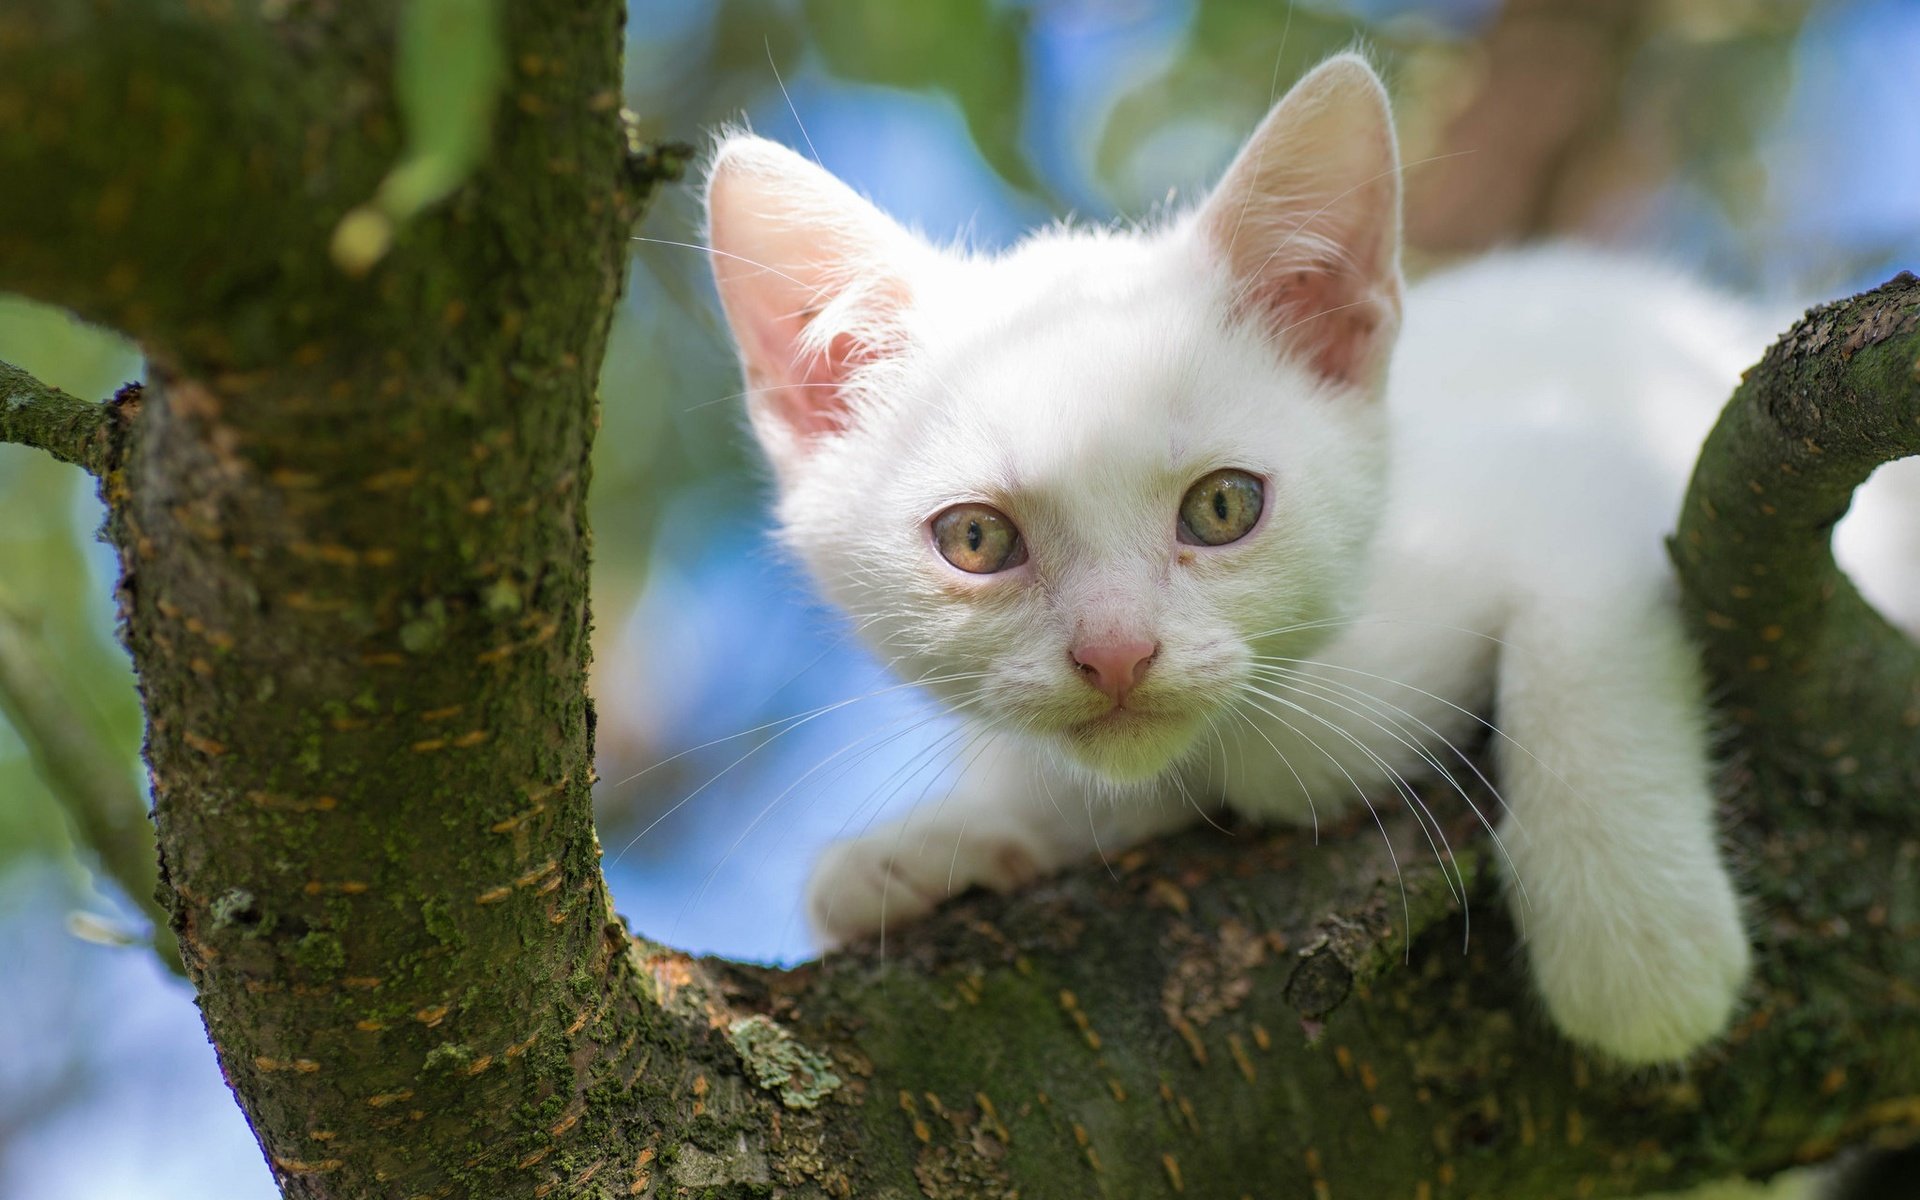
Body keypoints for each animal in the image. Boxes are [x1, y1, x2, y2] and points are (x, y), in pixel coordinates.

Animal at [695, 58, 1889, 1067]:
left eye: (1223, 507)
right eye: (977, 539)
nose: (1116, 652)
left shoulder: (1614, 459)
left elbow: (1578, 627)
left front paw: (1636, 933)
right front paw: (944, 841)